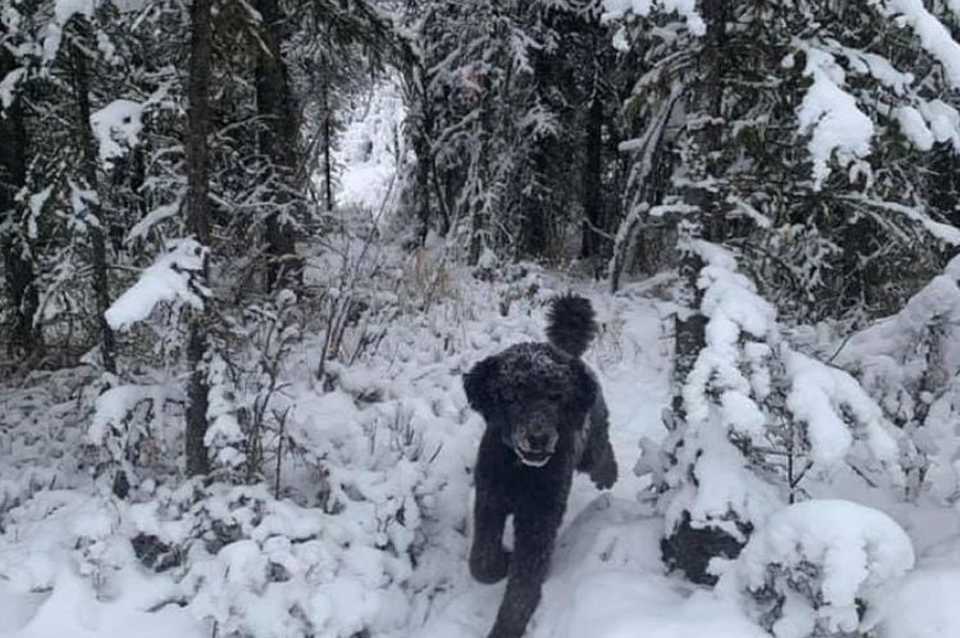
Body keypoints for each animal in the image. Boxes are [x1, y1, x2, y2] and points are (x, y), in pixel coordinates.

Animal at [463, 294, 617, 638]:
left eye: (555, 395)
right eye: (511, 394)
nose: (538, 438)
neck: (520, 471)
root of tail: (568, 353)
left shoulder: (538, 519)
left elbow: (522, 589)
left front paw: (506, 628)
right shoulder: (490, 501)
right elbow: (480, 563)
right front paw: (502, 562)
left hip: (590, 438)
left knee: (600, 451)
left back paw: (608, 474)